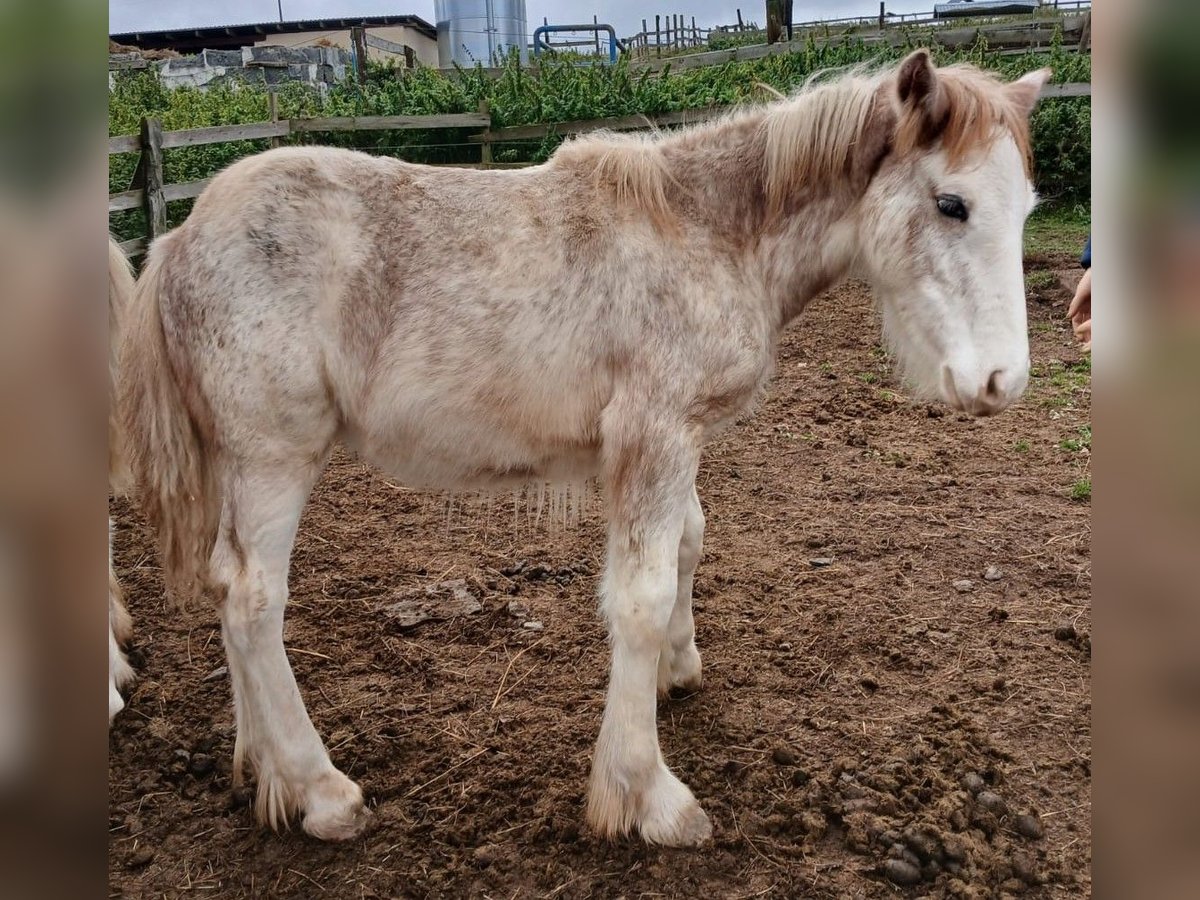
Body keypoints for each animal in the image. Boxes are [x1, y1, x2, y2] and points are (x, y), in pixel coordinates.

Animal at [117, 52, 1046, 849]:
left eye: (1028, 209)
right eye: (952, 203)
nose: (1002, 380)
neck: (709, 232)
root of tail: (177, 242)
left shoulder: (675, 439)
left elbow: (688, 547)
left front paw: (679, 668)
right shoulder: (653, 434)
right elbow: (639, 595)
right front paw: (646, 794)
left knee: (227, 590)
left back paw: (260, 766)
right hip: (274, 458)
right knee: (253, 600)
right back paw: (319, 791)